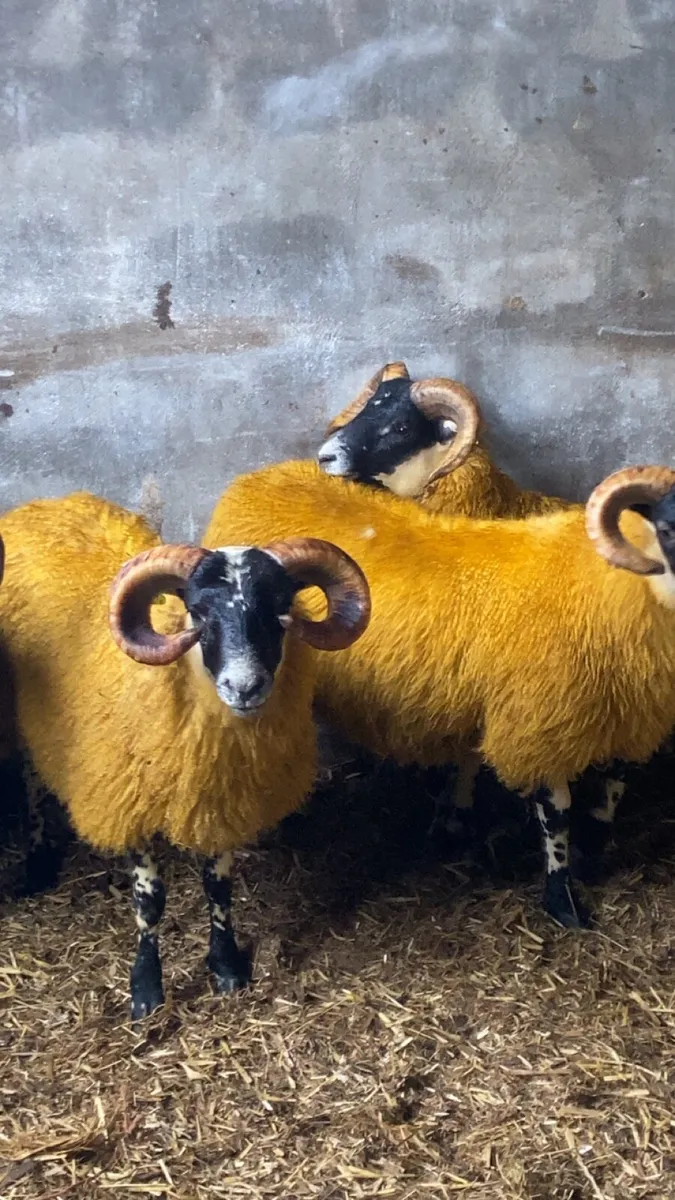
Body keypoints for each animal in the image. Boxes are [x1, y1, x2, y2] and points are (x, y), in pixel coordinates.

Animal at [0, 492, 370, 1018]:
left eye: (281, 608)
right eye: (197, 612)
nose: (244, 686)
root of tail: (49, 503)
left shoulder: (219, 799)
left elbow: (219, 888)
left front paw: (228, 967)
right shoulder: (128, 800)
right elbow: (150, 902)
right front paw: (146, 990)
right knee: (32, 775)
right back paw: (37, 861)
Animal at [206, 457, 675, 930]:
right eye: (667, 528)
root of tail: (255, 479)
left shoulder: (635, 711)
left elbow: (612, 792)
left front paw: (591, 859)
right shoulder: (538, 726)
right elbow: (556, 816)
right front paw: (563, 902)